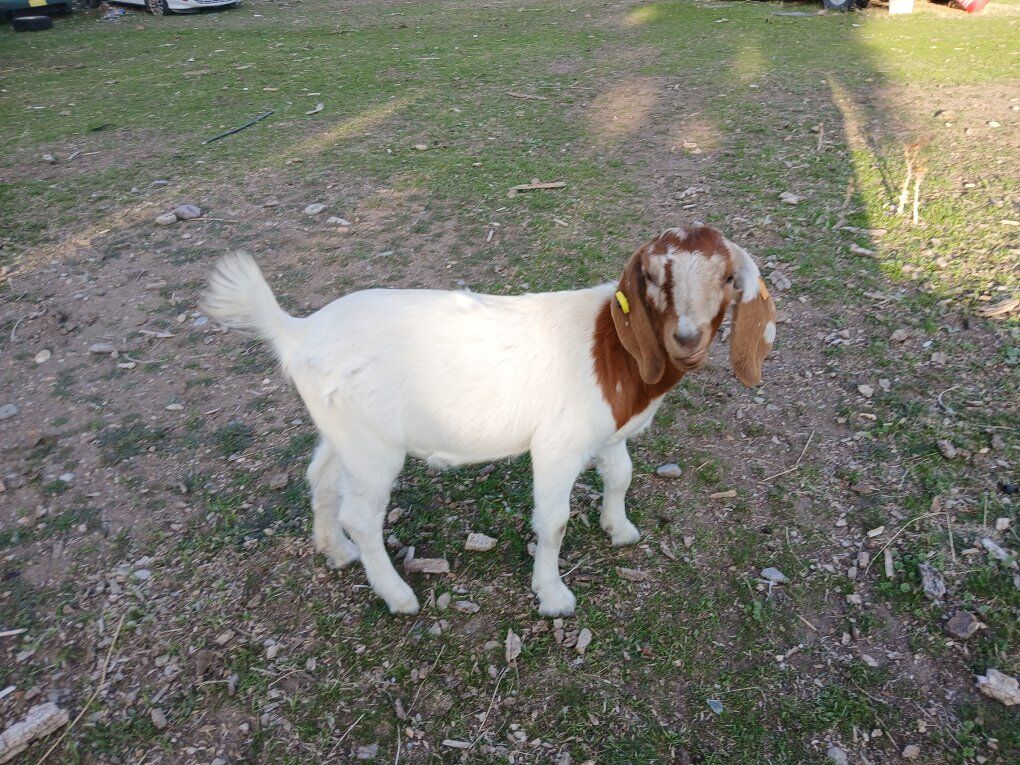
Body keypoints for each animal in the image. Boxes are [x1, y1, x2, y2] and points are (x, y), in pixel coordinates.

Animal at [201, 226, 776, 616]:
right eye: (654, 277)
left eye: (729, 277)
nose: (687, 338)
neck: (611, 347)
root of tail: (296, 332)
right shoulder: (558, 445)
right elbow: (554, 520)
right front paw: (553, 595)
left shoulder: (606, 433)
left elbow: (621, 476)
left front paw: (620, 528)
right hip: (374, 447)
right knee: (362, 516)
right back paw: (397, 594)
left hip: (344, 429)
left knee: (320, 477)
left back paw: (335, 550)